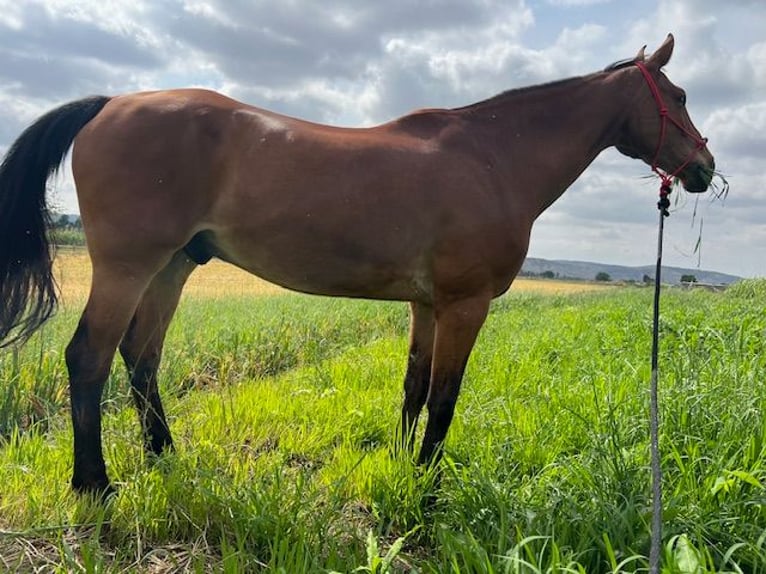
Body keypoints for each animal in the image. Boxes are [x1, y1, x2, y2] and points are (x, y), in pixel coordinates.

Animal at [0, 34, 714, 496]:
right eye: (678, 95)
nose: (705, 168)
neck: (492, 157)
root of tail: (110, 103)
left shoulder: (427, 304)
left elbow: (415, 388)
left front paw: (400, 466)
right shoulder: (465, 304)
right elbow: (446, 398)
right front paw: (428, 487)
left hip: (173, 267)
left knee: (141, 357)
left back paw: (165, 459)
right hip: (129, 265)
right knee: (89, 357)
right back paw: (95, 486)